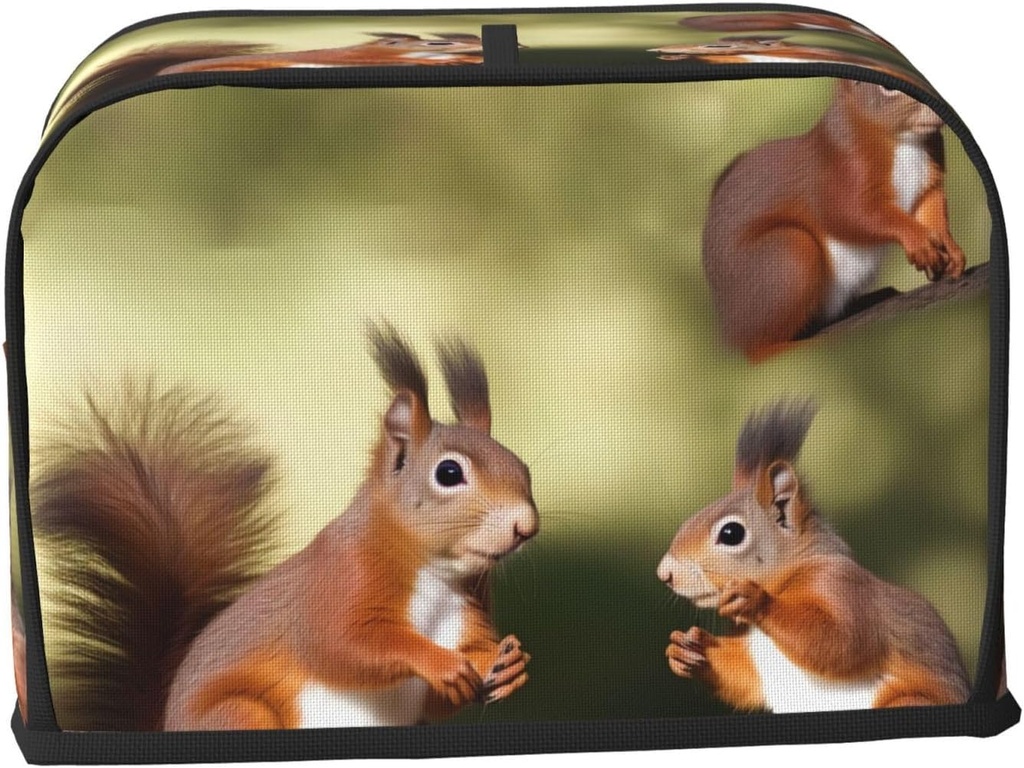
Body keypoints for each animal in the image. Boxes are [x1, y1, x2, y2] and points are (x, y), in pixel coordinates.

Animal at [31, 323, 537, 731]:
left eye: (523, 466)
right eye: (448, 473)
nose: (526, 525)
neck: (434, 575)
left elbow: (442, 696)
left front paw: (507, 664)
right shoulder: (336, 580)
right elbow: (342, 644)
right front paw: (437, 662)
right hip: (239, 716)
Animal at [657, 400, 970, 712]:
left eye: (731, 533)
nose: (664, 573)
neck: (789, 580)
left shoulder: (841, 586)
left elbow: (843, 641)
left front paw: (755, 599)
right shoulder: (760, 656)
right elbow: (740, 674)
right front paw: (685, 649)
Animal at [700, 79, 965, 362]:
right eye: (887, 87)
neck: (904, 142)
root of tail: (727, 333)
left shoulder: (929, 176)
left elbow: (932, 212)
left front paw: (952, 250)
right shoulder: (835, 172)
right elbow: (852, 214)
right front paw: (918, 240)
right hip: (787, 254)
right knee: (759, 350)